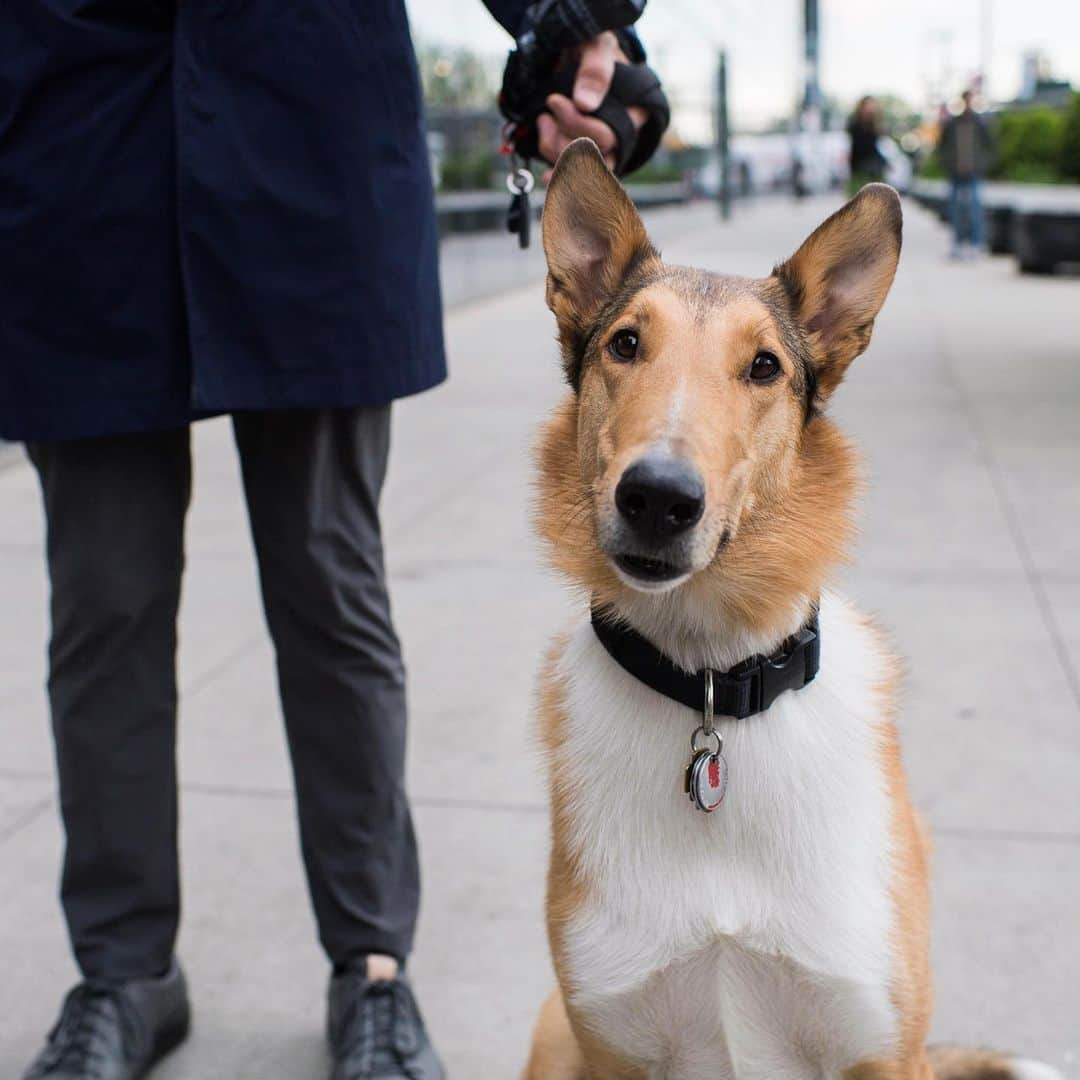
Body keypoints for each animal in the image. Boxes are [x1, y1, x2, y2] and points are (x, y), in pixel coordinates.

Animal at [522, 137, 1062, 1080]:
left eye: (765, 366)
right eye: (625, 344)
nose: (658, 498)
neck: (711, 679)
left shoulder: (883, 1047)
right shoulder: (610, 1043)